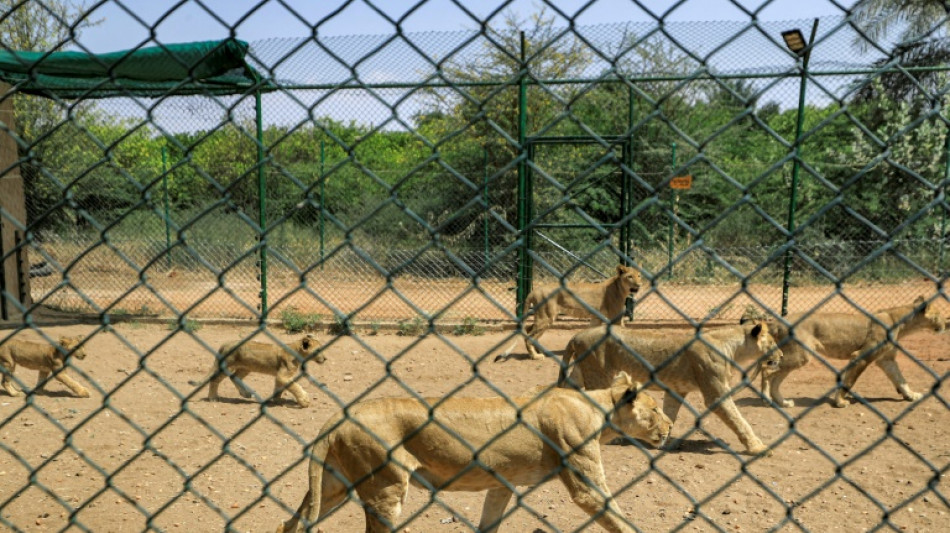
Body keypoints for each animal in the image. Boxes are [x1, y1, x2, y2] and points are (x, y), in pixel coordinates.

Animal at [188, 332, 326, 408]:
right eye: (318, 350)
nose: (325, 358)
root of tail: (226, 344)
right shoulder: (283, 375)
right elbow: (295, 386)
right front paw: (304, 401)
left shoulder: (280, 376)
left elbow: (279, 387)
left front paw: (276, 399)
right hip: (228, 366)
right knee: (215, 379)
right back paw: (213, 398)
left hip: (246, 367)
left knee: (234, 377)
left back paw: (245, 394)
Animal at [278, 370, 668, 532]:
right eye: (655, 408)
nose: (669, 427)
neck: (599, 410)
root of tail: (338, 417)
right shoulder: (585, 483)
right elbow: (618, 519)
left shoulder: (502, 484)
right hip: (384, 487)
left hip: (333, 486)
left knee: (289, 523)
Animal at [494, 264, 644, 364]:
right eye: (630, 276)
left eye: (639, 275)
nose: (639, 284)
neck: (621, 289)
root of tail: (534, 291)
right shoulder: (615, 317)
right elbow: (623, 332)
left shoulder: (596, 318)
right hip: (546, 317)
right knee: (529, 335)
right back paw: (535, 356)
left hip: (543, 316)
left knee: (529, 329)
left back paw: (539, 352)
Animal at [560, 318, 784, 456]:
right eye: (772, 342)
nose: (781, 356)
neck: (733, 348)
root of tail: (577, 335)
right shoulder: (716, 393)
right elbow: (739, 420)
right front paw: (758, 448)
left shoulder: (676, 390)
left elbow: (670, 413)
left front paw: (665, 439)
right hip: (599, 375)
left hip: (580, 373)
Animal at [752, 296, 944, 408]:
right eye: (941, 314)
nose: (945, 324)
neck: (901, 323)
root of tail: (777, 321)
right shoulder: (860, 357)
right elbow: (849, 381)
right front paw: (840, 402)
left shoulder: (886, 360)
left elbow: (901, 379)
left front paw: (911, 395)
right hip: (801, 355)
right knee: (767, 369)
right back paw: (766, 399)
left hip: (795, 355)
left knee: (775, 377)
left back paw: (783, 402)